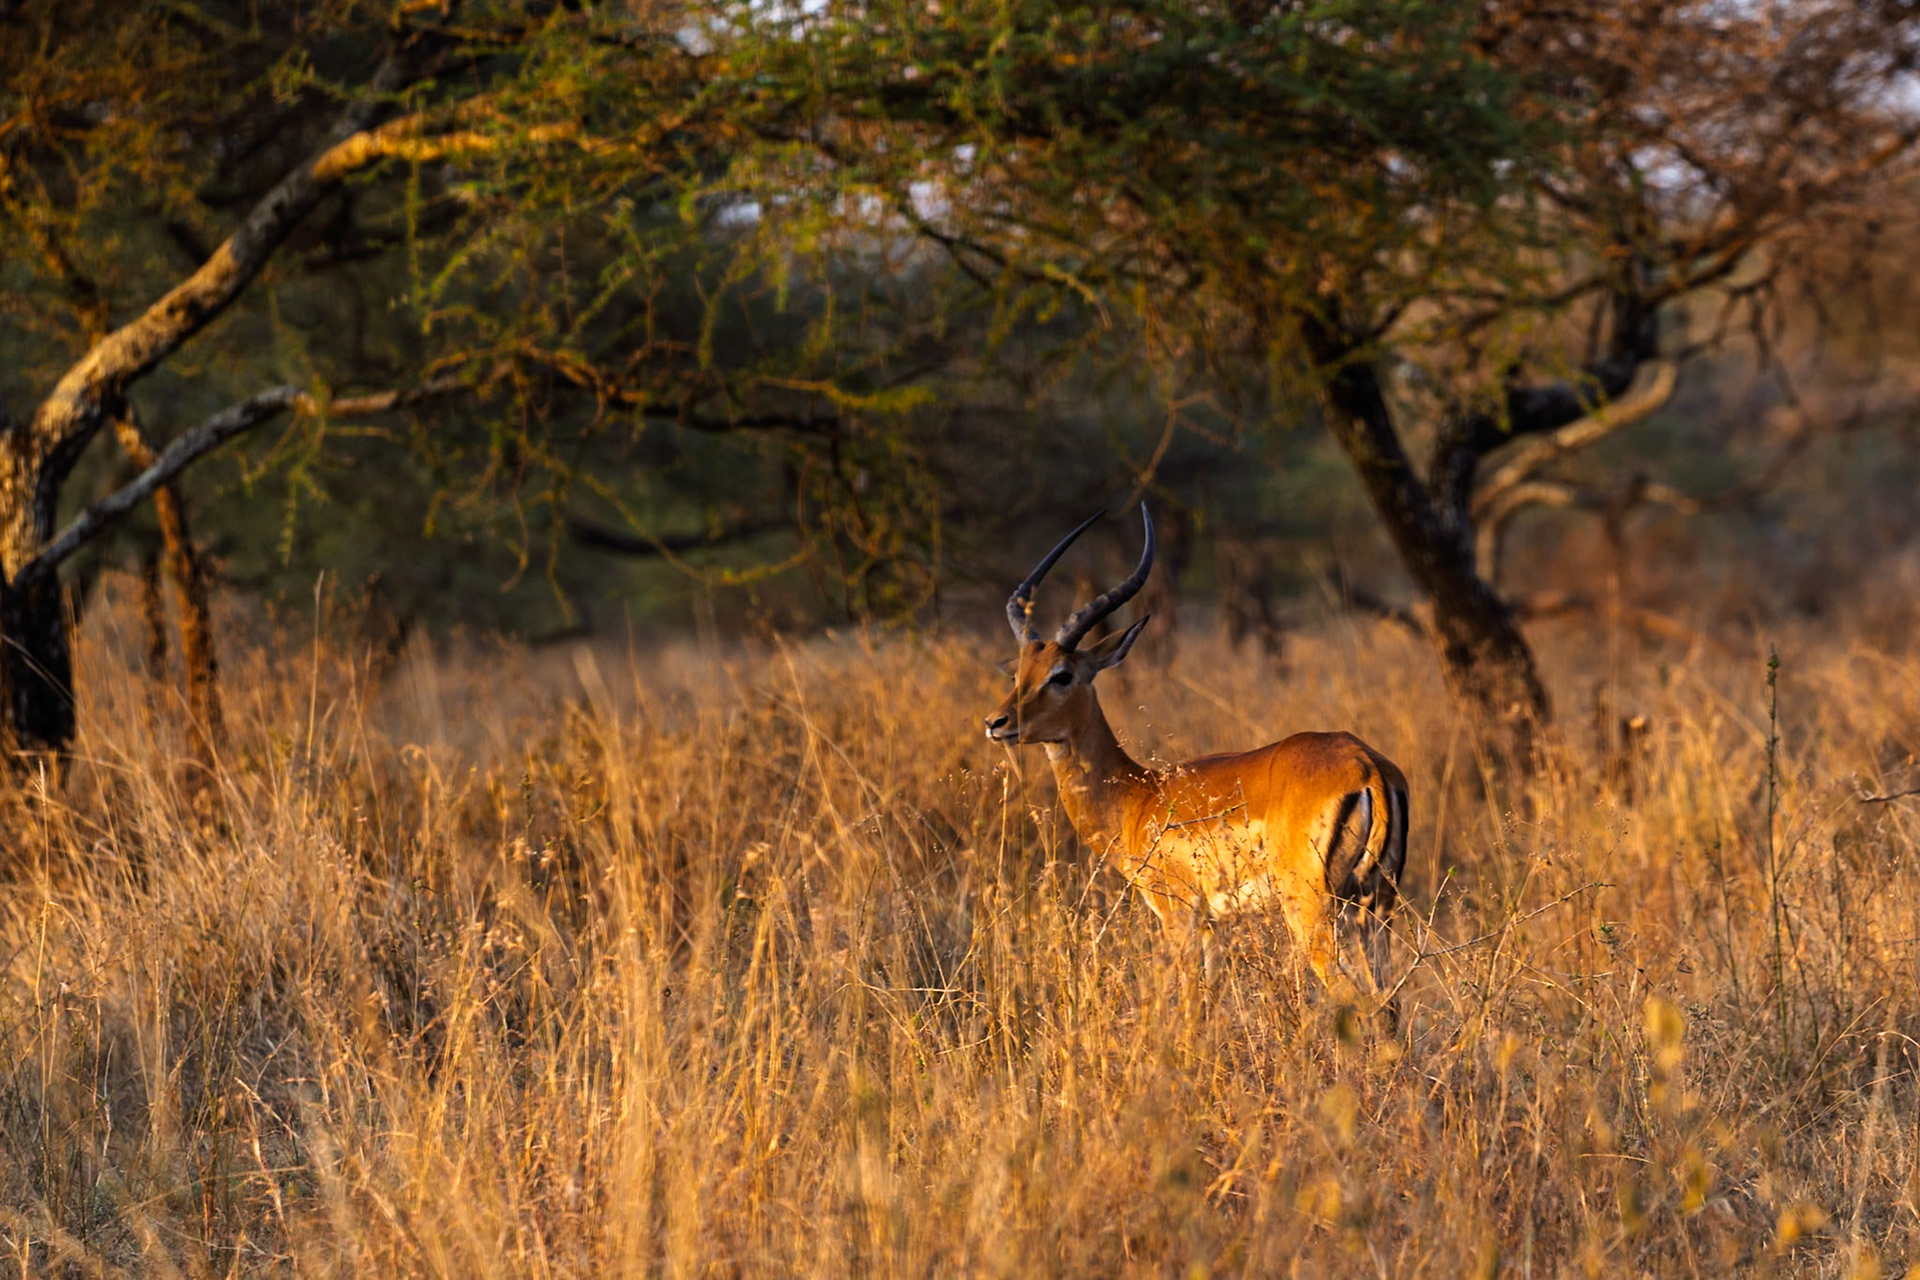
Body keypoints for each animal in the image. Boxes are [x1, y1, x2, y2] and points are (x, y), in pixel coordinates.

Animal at [984, 506, 1409, 1006]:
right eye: (1019, 672)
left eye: (1062, 674)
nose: (996, 722)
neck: (1138, 797)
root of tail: (1367, 766)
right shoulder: (1213, 926)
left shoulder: (1179, 917)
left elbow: (1188, 1007)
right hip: (1377, 909)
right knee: (1389, 1001)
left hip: (1314, 909)